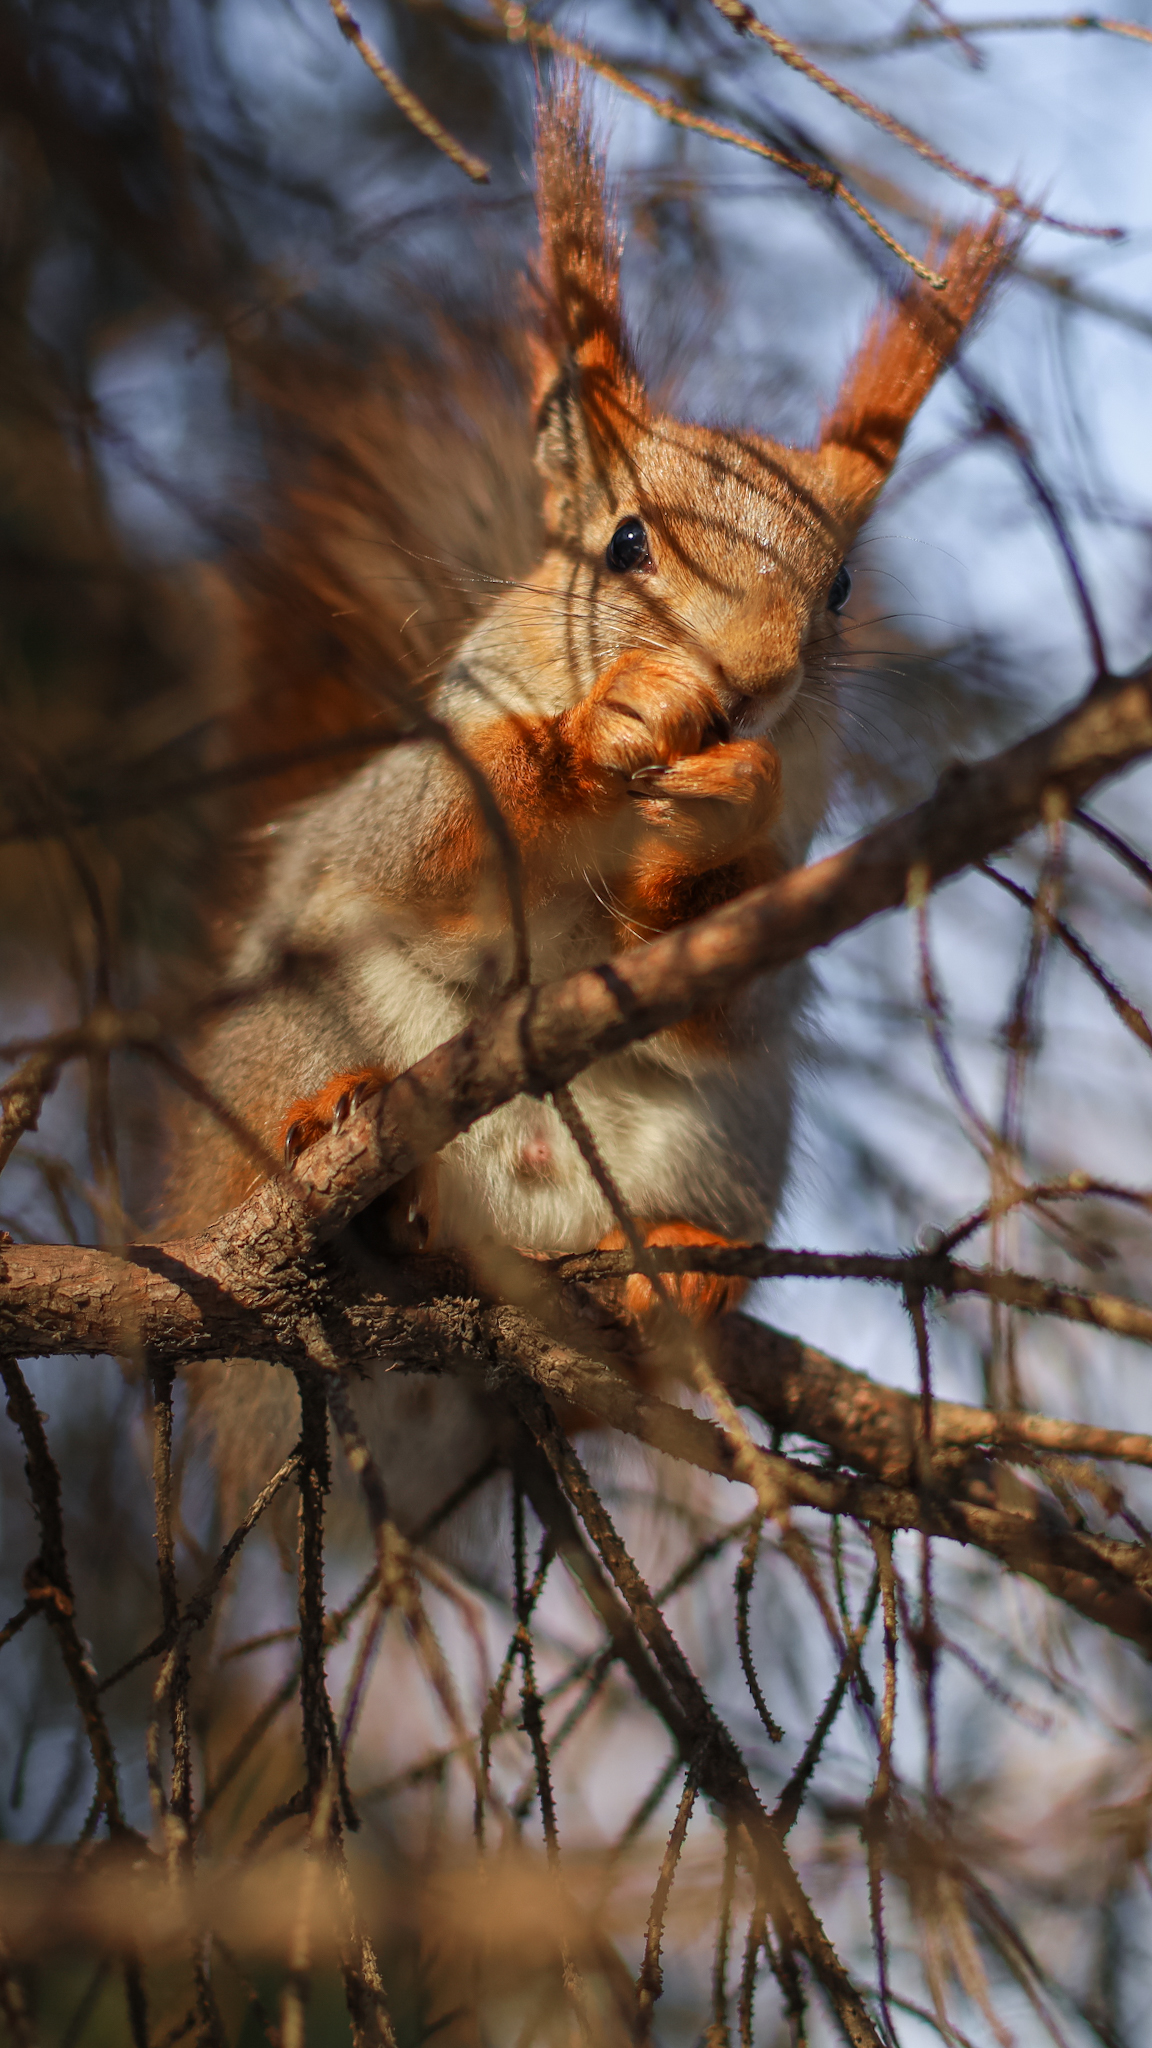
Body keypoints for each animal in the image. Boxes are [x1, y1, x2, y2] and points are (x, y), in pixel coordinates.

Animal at [172, 75, 1004, 1523]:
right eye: (623, 546)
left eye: (840, 591)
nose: (752, 682)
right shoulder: (416, 790)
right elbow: (433, 851)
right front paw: (602, 729)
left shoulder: (798, 877)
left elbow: (738, 987)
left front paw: (716, 820)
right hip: (301, 1024)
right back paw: (351, 1169)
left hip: (726, 1135)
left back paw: (679, 1271)